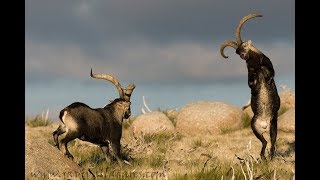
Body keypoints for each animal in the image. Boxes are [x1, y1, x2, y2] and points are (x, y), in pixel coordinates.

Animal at [220, 14, 280, 160]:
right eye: (237, 52)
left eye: (244, 47)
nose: (243, 56)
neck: (256, 64)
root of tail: (264, 123)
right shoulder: (250, 74)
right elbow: (251, 83)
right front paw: (256, 88)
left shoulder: (267, 66)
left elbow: (270, 73)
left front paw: (267, 81)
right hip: (254, 126)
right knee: (265, 142)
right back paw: (263, 157)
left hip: (273, 123)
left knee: (272, 141)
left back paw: (268, 156)